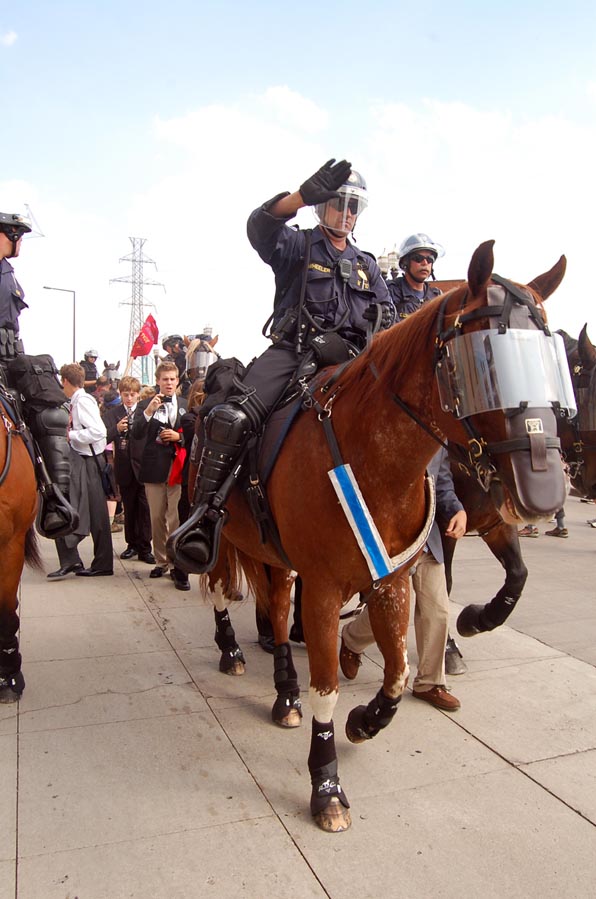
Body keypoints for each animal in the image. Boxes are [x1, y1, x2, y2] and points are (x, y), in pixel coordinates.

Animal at [185, 241, 570, 832]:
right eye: (485, 363)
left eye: (551, 365)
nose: (545, 491)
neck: (373, 457)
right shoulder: (323, 590)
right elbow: (327, 688)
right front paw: (326, 785)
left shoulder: (391, 580)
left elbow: (398, 670)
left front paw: (366, 720)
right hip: (221, 531)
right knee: (222, 588)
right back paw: (231, 650)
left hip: (276, 555)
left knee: (275, 608)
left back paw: (284, 693)